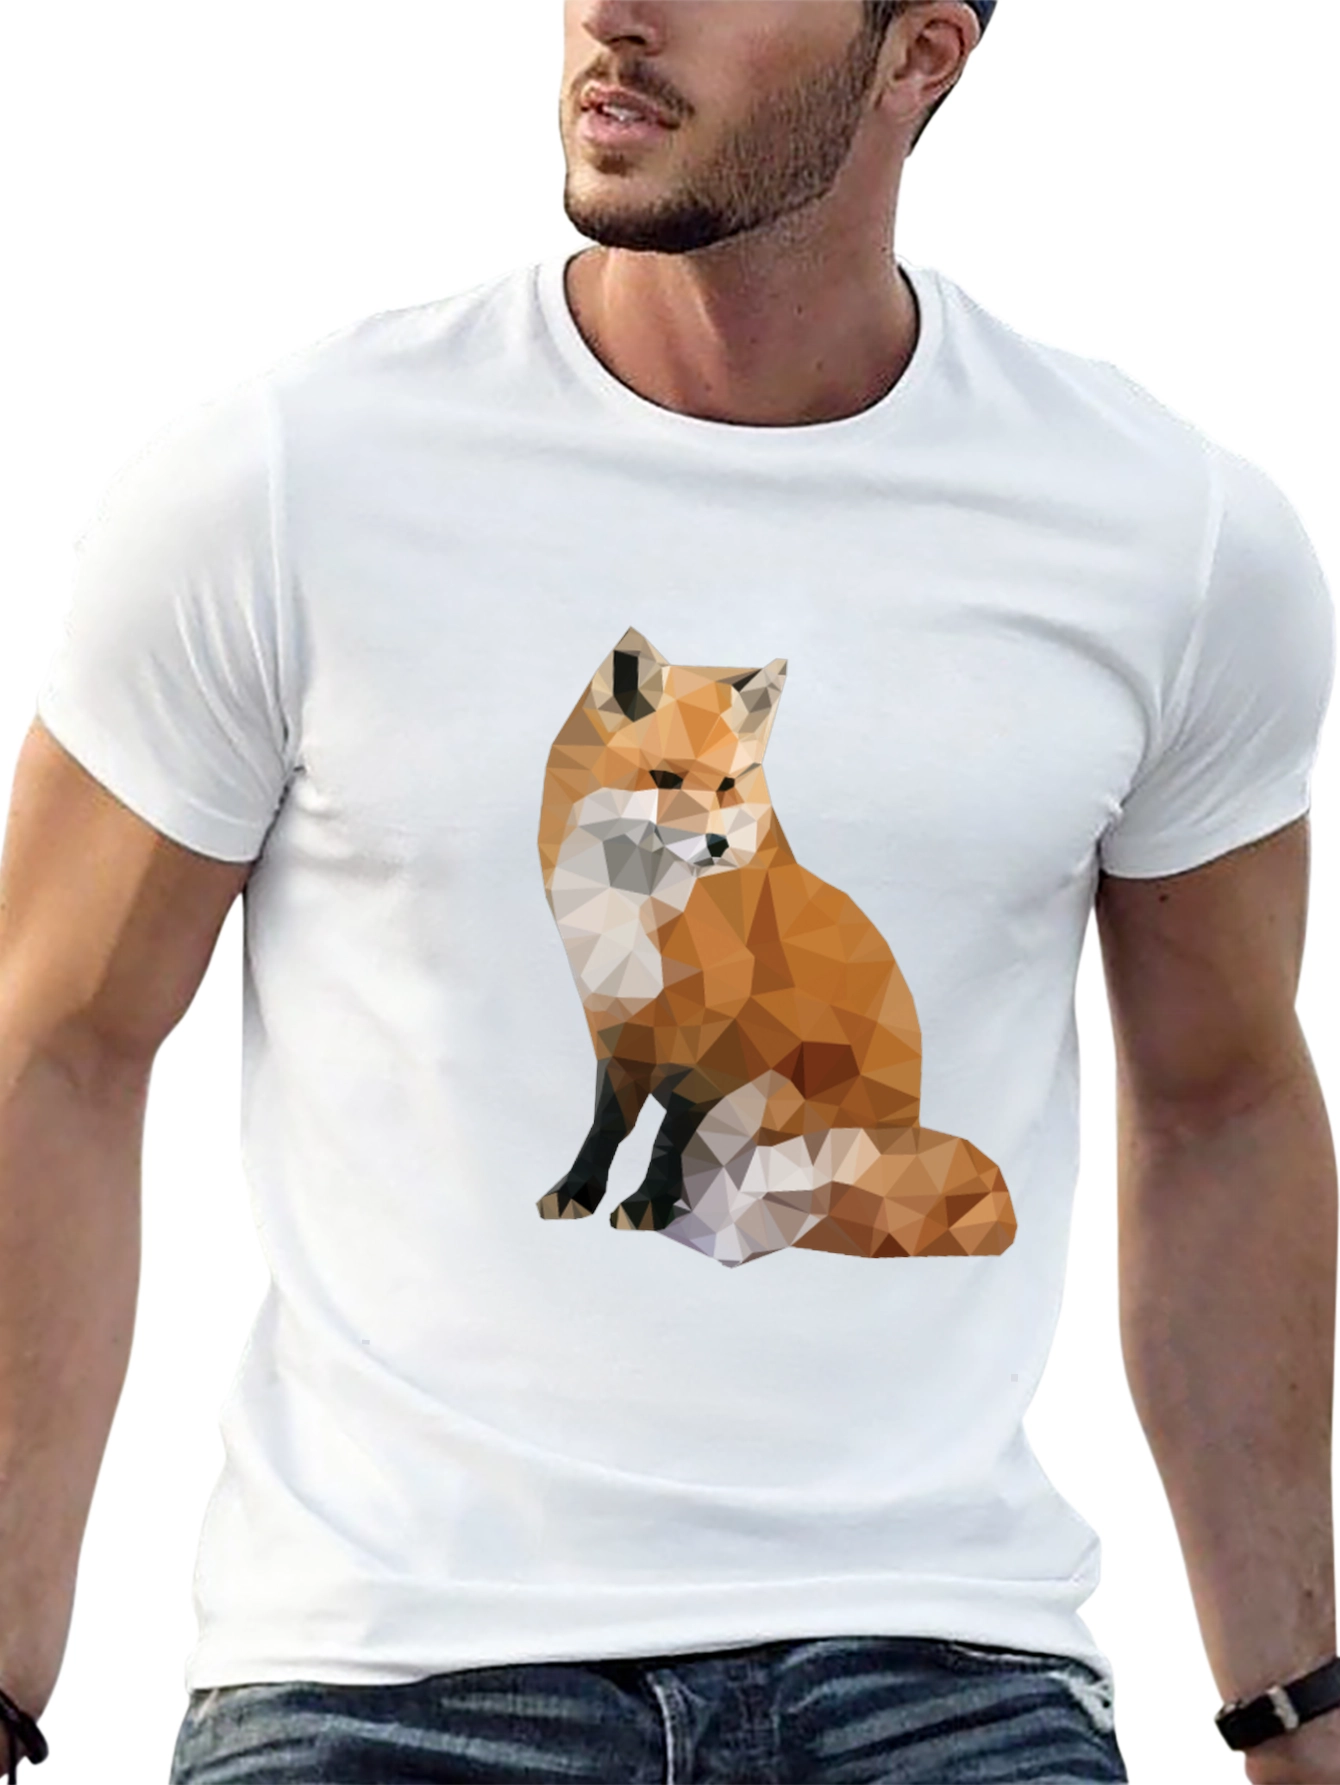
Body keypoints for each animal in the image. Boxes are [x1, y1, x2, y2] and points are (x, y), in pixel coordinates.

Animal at [536, 628, 1017, 1268]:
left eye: (727, 785)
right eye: (664, 779)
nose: (717, 844)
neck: (640, 909)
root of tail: (908, 1130)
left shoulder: (718, 1042)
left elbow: (669, 1137)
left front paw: (649, 1203)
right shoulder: (618, 1028)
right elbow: (607, 1126)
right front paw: (576, 1190)